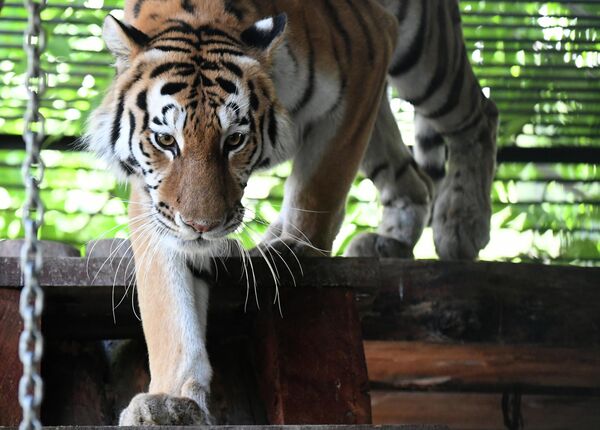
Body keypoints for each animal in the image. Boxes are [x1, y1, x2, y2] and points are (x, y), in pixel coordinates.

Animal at [84, 0, 496, 424]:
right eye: (165, 140)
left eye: (235, 140)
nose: (202, 226)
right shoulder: (157, 205)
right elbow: (168, 302)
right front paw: (171, 400)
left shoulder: (365, 62)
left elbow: (319, 184)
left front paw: (296, 248)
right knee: (413, 177)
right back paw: (389, 241)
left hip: (424, 56)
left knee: (479, 114)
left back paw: (462, 223)